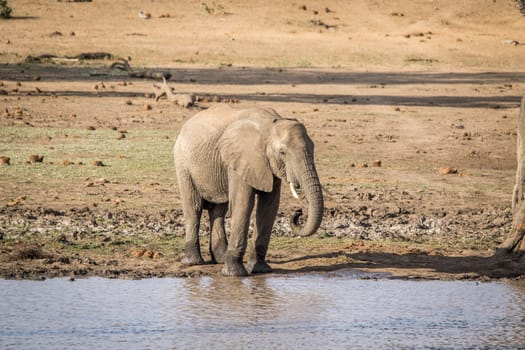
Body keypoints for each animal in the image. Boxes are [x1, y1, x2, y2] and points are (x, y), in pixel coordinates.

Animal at [175, 104, 324, 276]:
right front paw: (234, 274)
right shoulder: (240, 159)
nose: (298, 212)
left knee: (218, 210)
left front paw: (261, 270)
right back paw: (193, 262)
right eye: (282, 153)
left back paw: (220, 259)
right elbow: (244, 204)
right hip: (183, 164)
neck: (270, 126)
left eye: (313, 148)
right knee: (194, 208)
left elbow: (269, 207)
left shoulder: (268, 164)